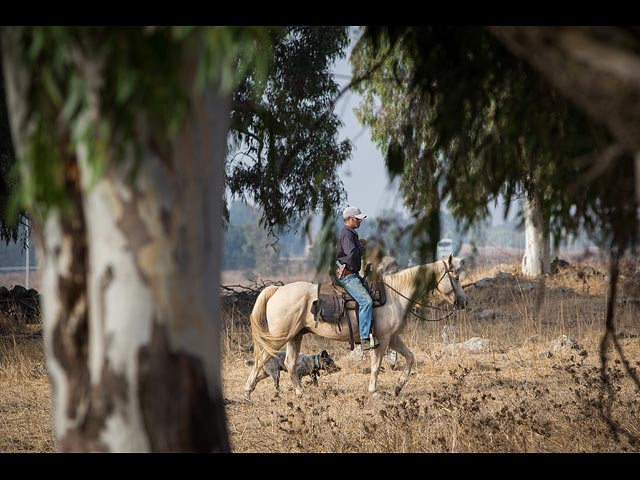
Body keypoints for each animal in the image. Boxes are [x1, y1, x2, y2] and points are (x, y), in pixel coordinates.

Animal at [242, 253, 468, 400]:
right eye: (456, 277)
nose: (463, 302)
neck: (395, 295)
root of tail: (277, 290)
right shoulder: (382, 340)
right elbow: (376, 366)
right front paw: (374, 391)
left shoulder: (393, 338)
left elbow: (410, 358)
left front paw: (397, 388)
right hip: (279, 336)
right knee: (261, 358)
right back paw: (247, 391)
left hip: (295, 336)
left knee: (289, 363)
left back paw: (301, 394)